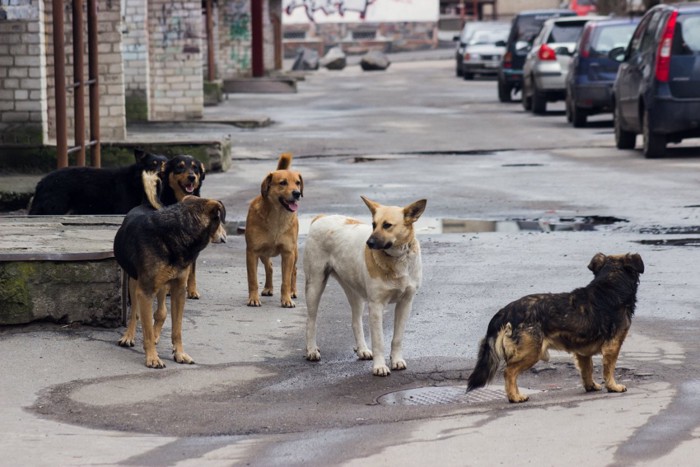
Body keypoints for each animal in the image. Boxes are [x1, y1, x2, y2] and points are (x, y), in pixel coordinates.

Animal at [27, 150, 167, 216]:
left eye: (165, 164)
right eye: (153, 164)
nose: (162, 173)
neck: (135, 181)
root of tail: (42, 181)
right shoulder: (122, 209)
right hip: (53, 208)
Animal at [113, 172, 226, 370]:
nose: (225, 237)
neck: (179, 229)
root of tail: (145, 204)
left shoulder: (179, 289)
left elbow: (177, 328)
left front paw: (179, 353)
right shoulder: (145, 291)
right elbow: (145, 327)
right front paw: (152, 357)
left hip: (162, 285)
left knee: (160, 313)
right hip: (134, 282)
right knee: (135, 313)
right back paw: (129, 336)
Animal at [245, 152, 302, 308]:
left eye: (298, 182)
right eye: (283, 183)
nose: (297, 193)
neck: (277, 217)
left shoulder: (288, 253)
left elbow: (286, 280)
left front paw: (286, 299)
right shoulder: (252, 252)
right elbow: (252, 279)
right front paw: (253, 298)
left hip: (294, 252)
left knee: (294, 271)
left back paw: (293, 291)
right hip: (263, 253)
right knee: (269, 267)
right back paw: (268, 288)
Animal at [304, 197, 426, 376]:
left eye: (387, 225)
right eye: (373, 224)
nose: (369, 243)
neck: (396, 259)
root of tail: (321, 217)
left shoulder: (405, 303)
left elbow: (397, 338)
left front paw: (396, 360)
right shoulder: (376, 306)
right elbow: (379, 341)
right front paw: (380, 366)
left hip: (355, 292)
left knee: (356, 321)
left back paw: (362, 349)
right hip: (315, 285)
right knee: (311, 321)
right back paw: (311, 350)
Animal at [464, 254, 644, 404]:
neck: (610, 285)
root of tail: (506, 311)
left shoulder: (582, 352)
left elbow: (587, 370)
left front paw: (590, 386)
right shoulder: (613, 346)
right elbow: (609, 369)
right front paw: (613, 386)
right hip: (531, 352)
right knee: (509, 372)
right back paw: (515, 397)